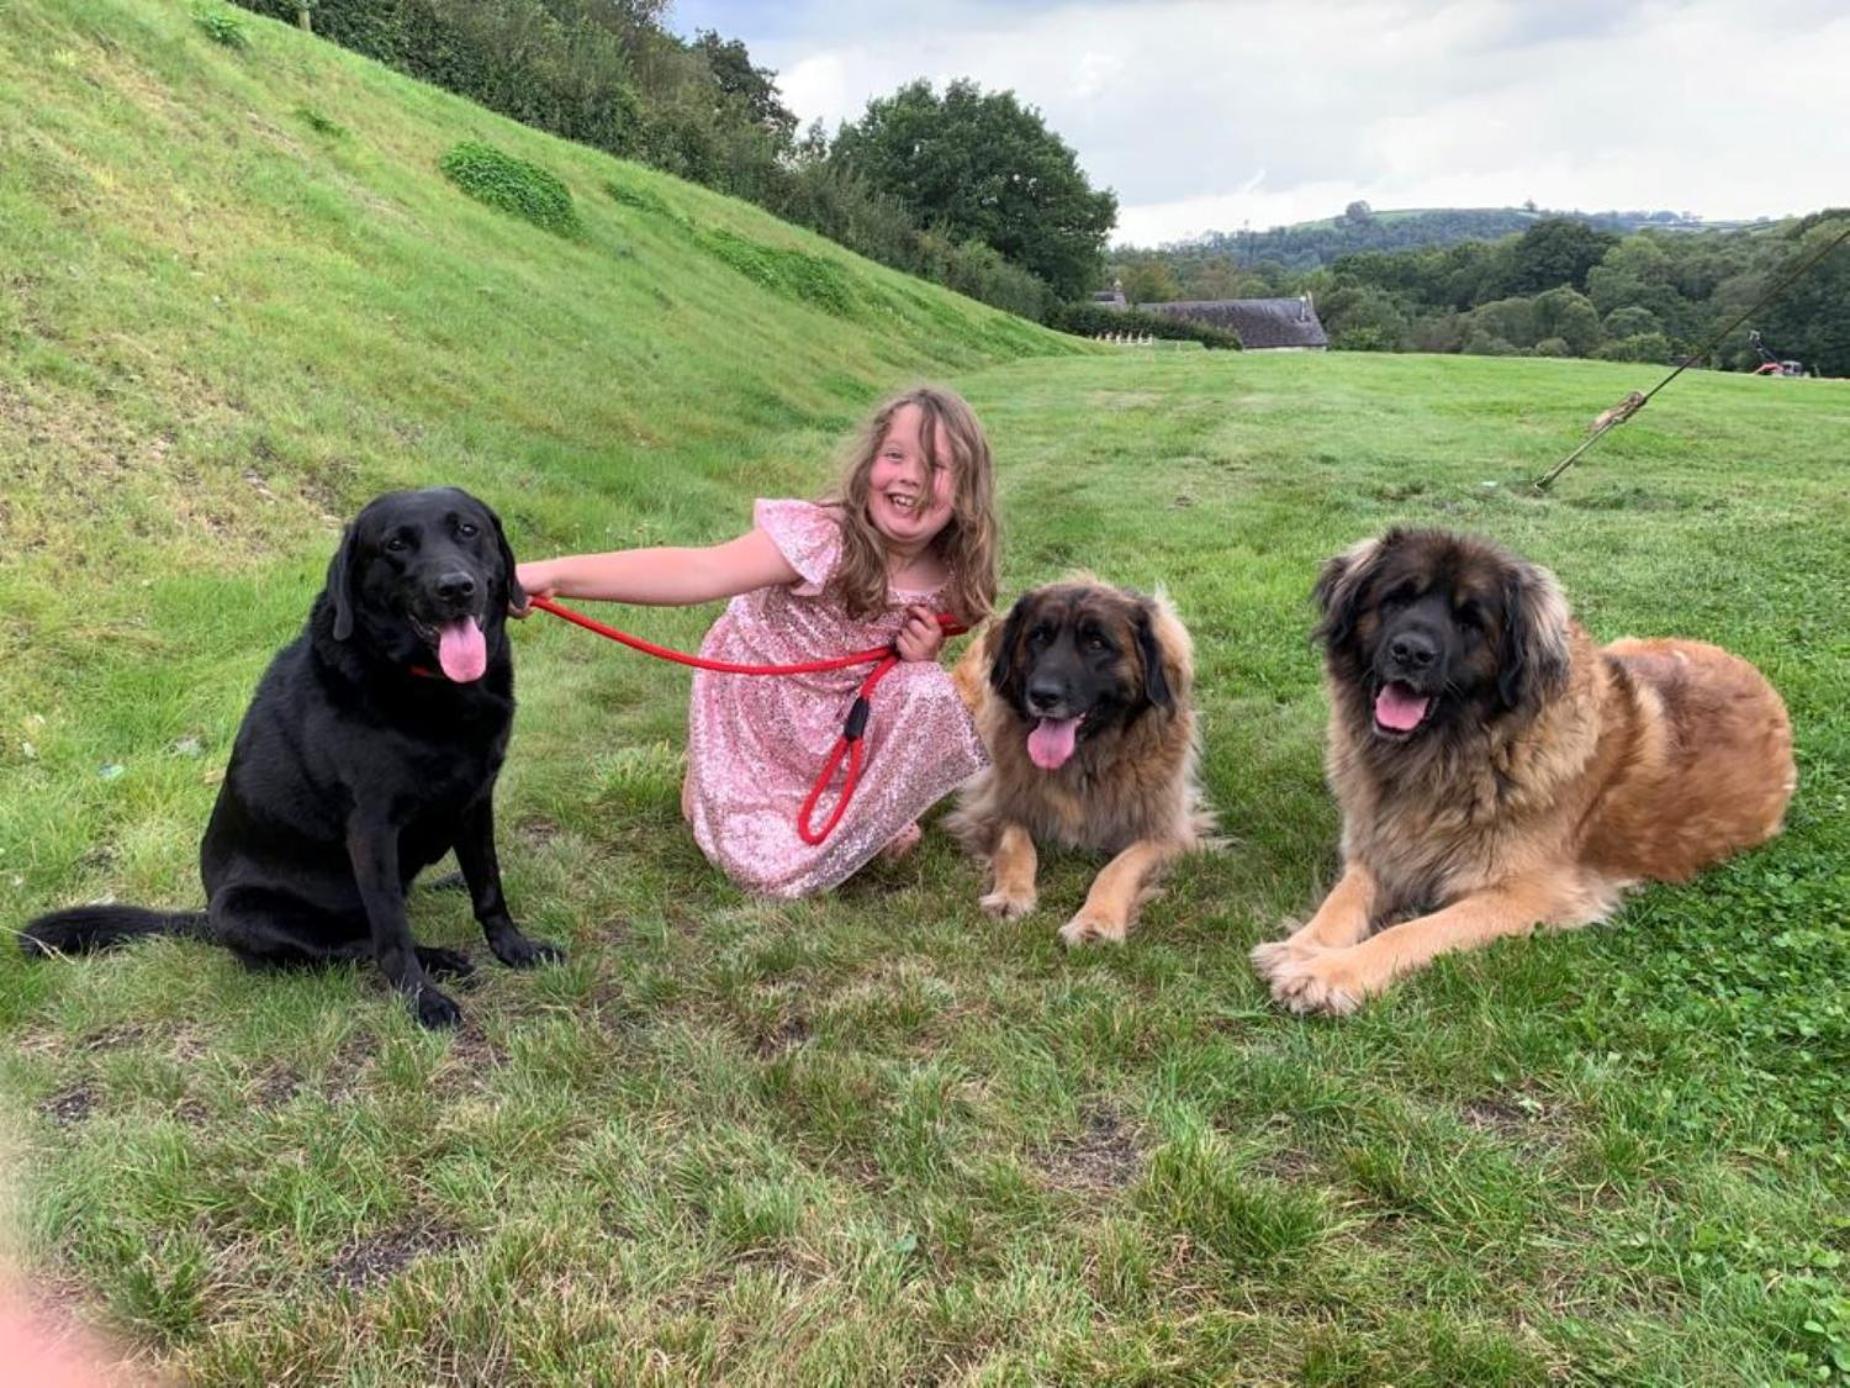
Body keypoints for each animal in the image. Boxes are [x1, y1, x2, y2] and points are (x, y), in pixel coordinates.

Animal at [954, 581, 1213, 954]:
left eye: (1096, 643)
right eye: (1038, 636)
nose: (1043, 695)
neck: (1086, 759)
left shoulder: (1166, 831)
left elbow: (1120, 867)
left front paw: (1096, 921)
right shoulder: (992, 802)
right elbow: (1016, 844)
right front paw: (1010, 894)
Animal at [1250, 525, 1798, 1014]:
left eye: (1471, 620)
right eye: (1396, 599)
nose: (1410, 652)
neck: (1455, 754)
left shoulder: (1526, 895)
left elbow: (1410, 931)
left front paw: (1330, 972)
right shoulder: (1379, 851)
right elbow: (1342, 901)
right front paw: (1301, 947)